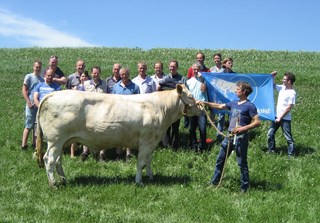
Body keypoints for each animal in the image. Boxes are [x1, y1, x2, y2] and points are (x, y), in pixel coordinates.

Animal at [36, 84, 204, 187]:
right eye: (190, 96)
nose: (202, 108)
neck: (161, 109)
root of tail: (52, 94)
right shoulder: (146, 141)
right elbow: (141, 162)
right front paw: (139, 181)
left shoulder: (151, 142)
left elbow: (148, 161)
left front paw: (150, 176)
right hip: (55, 140)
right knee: (49, 159)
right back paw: (53, 184)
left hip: (61, 141)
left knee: (58, 160)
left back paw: (63, 180)